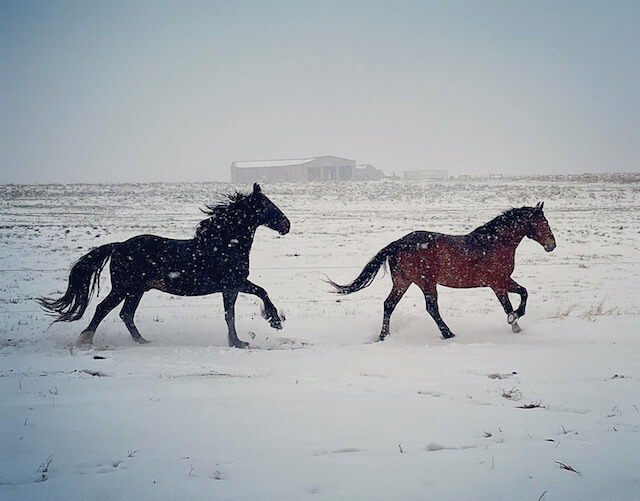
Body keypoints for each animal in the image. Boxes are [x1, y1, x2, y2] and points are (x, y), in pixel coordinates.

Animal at [38, 183, 290, 349]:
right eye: (267, 205)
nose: (286, 225)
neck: (224, 244)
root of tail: (118, 246)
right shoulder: (232, 285)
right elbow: (240, 308)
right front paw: (248, 336)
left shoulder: (235, 285)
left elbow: (254, 297)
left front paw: (266, 326)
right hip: (123, 288)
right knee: (103, 309)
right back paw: (85, 341)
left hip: (136, 290)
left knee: (125, 314)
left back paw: (143, 341)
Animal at [328, 202, 556, 340]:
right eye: (542, 222)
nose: (551, 245)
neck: (493, 243)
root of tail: (397, 243)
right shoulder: (499, 281)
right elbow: (519, 297)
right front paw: (514, 319)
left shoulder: (500, 283)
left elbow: (514, 300)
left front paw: (516, 325)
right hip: (426, 283)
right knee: (431, 308)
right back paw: (448, 333)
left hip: (402, 282)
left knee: (389, 305)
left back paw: (384, 336)